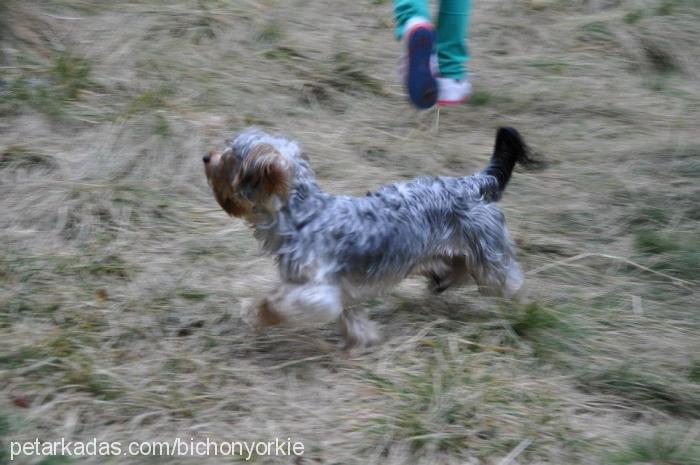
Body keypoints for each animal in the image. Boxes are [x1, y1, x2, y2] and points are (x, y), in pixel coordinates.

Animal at [202, 125, 536, 346]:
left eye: (229, 157)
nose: (206, 156)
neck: (302, 215)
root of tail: (475, 182)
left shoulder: (319, 291)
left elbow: (277, 303)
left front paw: (255, 314)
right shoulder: (336, 287)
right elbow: (350, 315)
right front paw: (364, 338)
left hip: (489, 256)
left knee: (511, 282)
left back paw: (524, 314)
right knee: (458, 268)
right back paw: (441, 280)